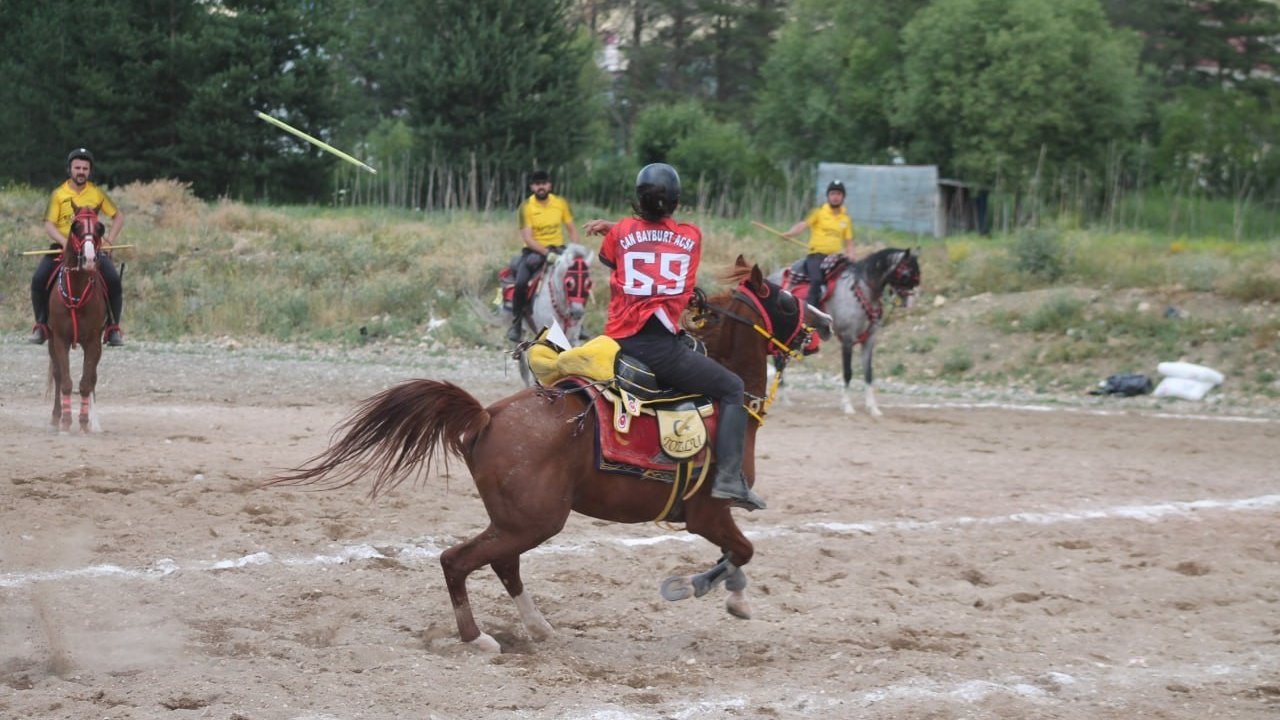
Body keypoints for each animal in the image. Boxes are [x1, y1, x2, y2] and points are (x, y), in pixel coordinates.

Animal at [46, 206, 109, 430]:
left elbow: (86, 382)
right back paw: (56, 418)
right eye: (76, 227)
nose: (89, 259)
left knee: (92, 378)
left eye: (100, 228)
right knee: (57, 375)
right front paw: (66, 422)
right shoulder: (60, 340)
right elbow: (65, 381)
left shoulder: (93, 342)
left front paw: (83, 423)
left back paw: (93, 421)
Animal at [271, 257, 829, 650]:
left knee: (502, 565)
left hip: (517, 521)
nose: (822, 322)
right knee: (458, 560)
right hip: (534, 521)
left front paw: (725, 589)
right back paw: (478, 638)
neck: (721, 402)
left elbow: (738, 554)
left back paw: (537, 627)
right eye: (785, 300)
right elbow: (742, 551)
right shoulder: (708, 514)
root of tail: (486, 417)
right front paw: (712, 591)